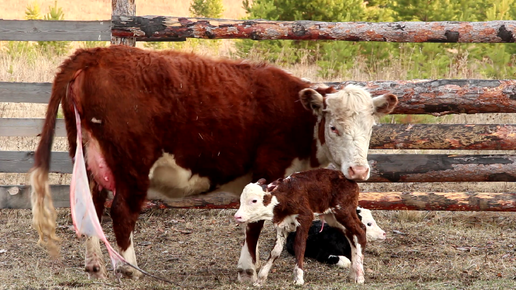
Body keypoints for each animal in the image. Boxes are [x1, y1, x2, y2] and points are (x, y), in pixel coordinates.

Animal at [234, 168, 366, 286]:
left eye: (254, 200)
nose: (237, 216)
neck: (285, 197)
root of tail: (347, 179)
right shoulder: (282, 225)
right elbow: (275, 251)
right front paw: (260, 279)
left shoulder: (305, 217)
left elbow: (300, 246)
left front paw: (298, 278)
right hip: (333, 218)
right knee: (351, 235)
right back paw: (353, 273)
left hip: (343, 211)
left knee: (360, 231)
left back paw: (359, 275)